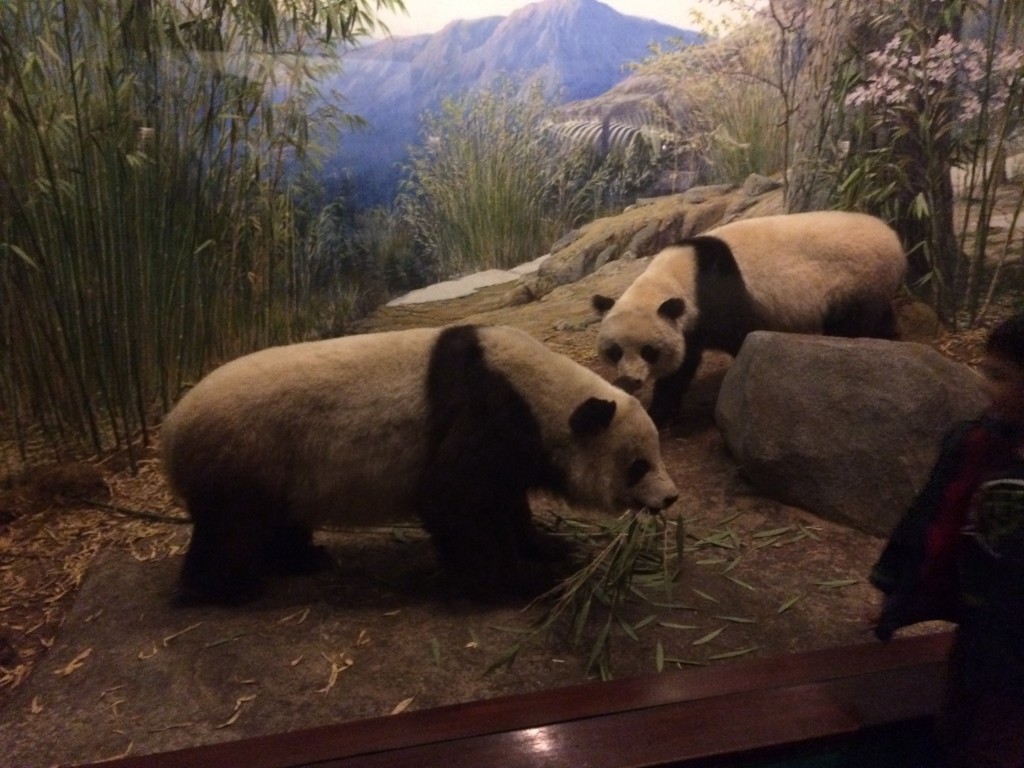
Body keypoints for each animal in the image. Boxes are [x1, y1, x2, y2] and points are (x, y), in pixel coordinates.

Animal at [161, 321, 679, 606]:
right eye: (638, 465)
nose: (670, 497)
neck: (541, 391)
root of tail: (170, 431)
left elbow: (504, 498)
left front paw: (549, 547)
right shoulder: (490, 409)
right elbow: (453, 497)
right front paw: (523, 579)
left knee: (274, 521)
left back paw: (303, 559)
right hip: (244, 453)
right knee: (233, 528)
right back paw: (228, 588)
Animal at [593, 210, 905, 428]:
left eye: (649, 351)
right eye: (615, 351)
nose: (630, 381)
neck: (675, 279)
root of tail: (893, 238)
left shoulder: (718, 297)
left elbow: (740, 335)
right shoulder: (688, 325)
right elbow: (681, 367)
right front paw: (659, 414)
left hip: (854, 278)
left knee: (853, 322)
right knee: (879, 314)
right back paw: (891, 336)